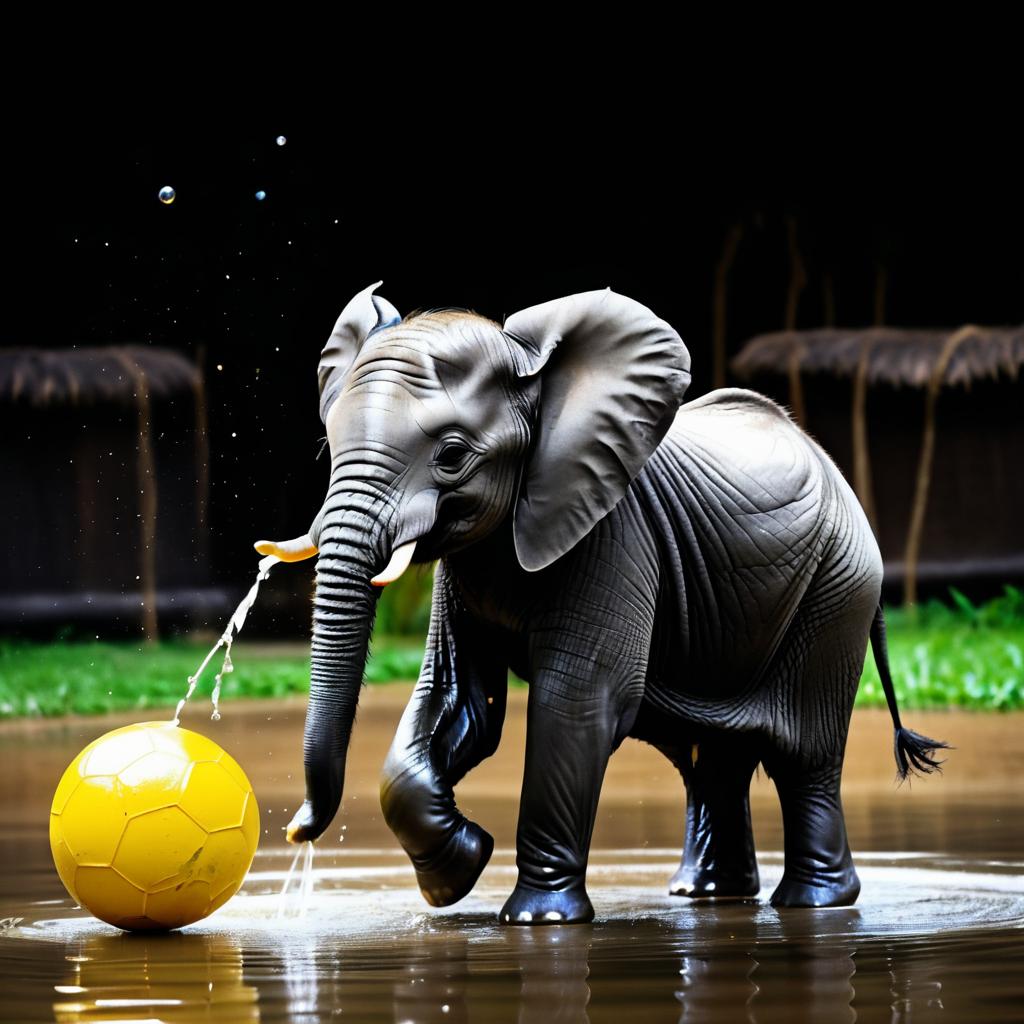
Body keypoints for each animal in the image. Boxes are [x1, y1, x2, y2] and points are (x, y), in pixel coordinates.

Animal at [260, 284, 946, 925]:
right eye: (328, 444)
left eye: (452, 456)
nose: (297, 830)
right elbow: (459, 701)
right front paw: (459, 870)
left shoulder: (614, 535)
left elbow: (575, 704)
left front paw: (537, 919)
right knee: (712, 760)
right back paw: (707, 894)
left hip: (838, 589)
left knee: (803, 757)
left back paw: (815, 903)